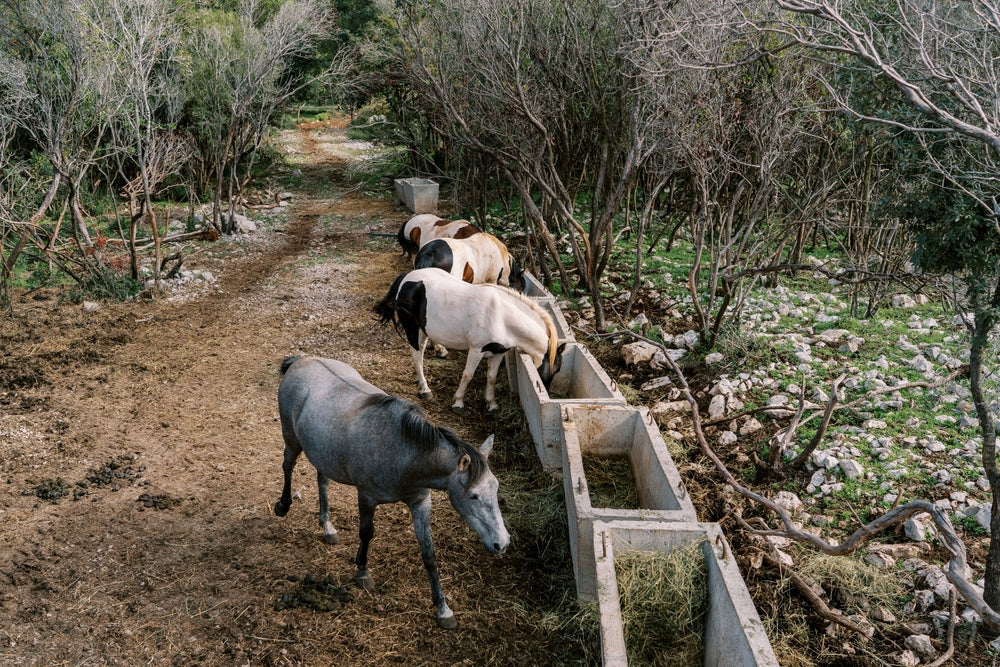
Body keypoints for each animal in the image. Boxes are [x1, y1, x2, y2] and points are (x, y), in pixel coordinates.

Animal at [273, 355, 509, 629]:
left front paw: (443, 609)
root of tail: (303, 360)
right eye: (473, 496)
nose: (502, 543)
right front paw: (363, 572)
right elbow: (366, 533)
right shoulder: (366, 497)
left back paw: (328, 527)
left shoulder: (420, 502)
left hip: (323, 454)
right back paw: (283, 506)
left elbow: (429, 553)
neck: (404, 451)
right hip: (291, 439)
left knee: (322, 481)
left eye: (496, 488)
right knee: (288, 466)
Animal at [373, 268, 565, 414]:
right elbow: (467, 375)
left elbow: (491, 377)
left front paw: (491, 404)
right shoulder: (476, 350)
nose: (547, 391)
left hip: (423, 329)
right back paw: (425, 389)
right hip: (412, 328)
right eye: (555, 370)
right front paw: (458, 402)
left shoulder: (498, 353)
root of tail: (408, 277)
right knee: (417, 355)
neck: (502, 316)